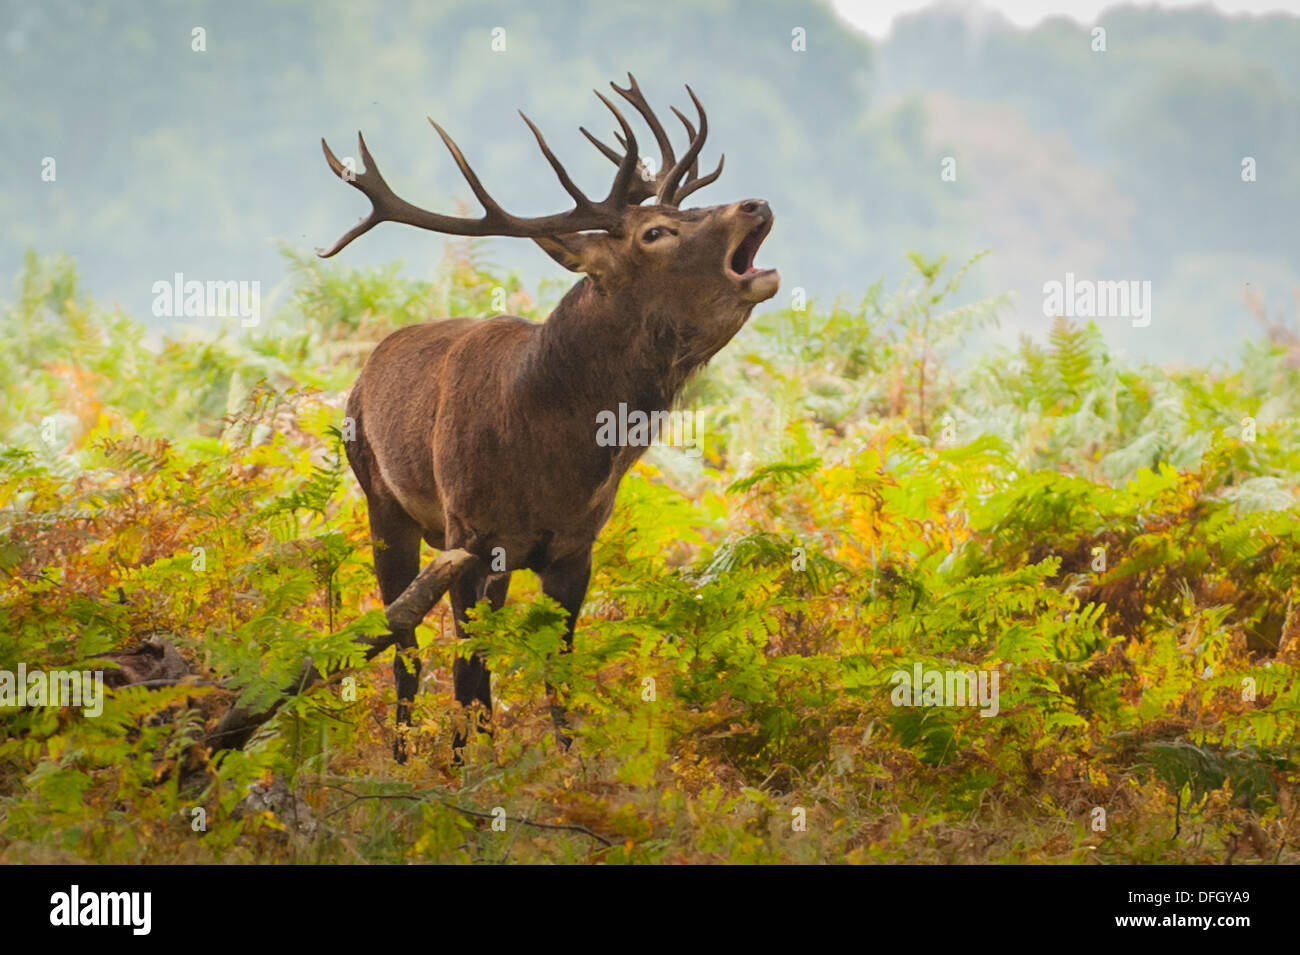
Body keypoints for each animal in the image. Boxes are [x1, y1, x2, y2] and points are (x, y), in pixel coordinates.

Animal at [318, 74, 774, 764]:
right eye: (655, 233)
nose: (755, 204)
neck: (556, 454)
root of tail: (366, 370)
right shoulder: (471, 533)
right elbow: (467, 669)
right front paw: (463, 770)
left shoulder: (575, 548)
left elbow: (558, 673)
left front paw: (565, 767)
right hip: (381, 500)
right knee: (405, 647)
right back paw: (400, 756)